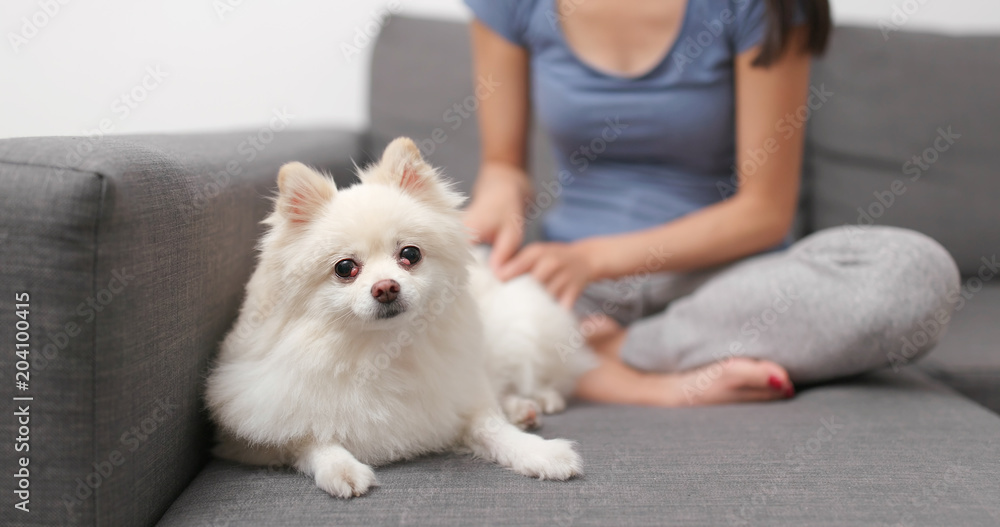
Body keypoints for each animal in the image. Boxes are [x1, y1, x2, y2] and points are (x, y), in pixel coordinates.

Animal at [206, 137, 588, 500]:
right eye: (345, 268)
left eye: (410, 254)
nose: (386, 287)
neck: (383, 350)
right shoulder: (250, 430)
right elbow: (309, 439)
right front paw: (340, 467)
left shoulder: (460, 394)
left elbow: (492, 427)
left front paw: (539, 453)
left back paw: (533, 402)